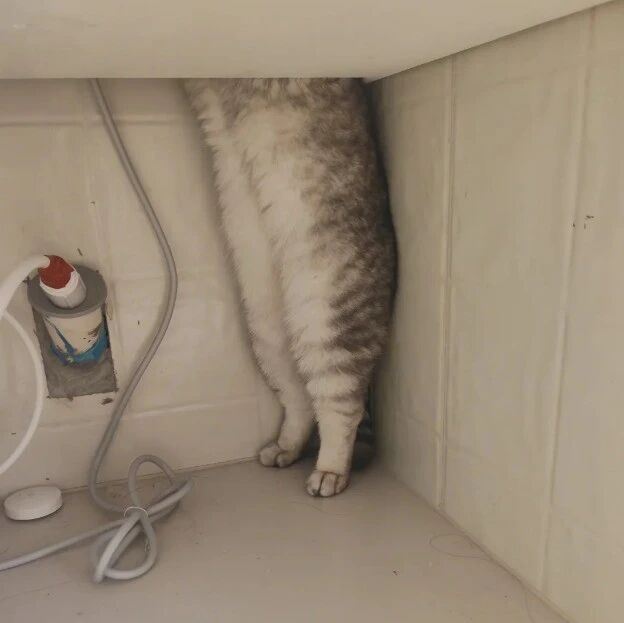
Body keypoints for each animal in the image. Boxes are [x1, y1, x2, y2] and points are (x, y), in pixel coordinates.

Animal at [185, 79, 396, 497]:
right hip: (269, 334)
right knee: (300, 401)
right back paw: (287, 446)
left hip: (329, 318)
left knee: (339, 406)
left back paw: (330, 469)